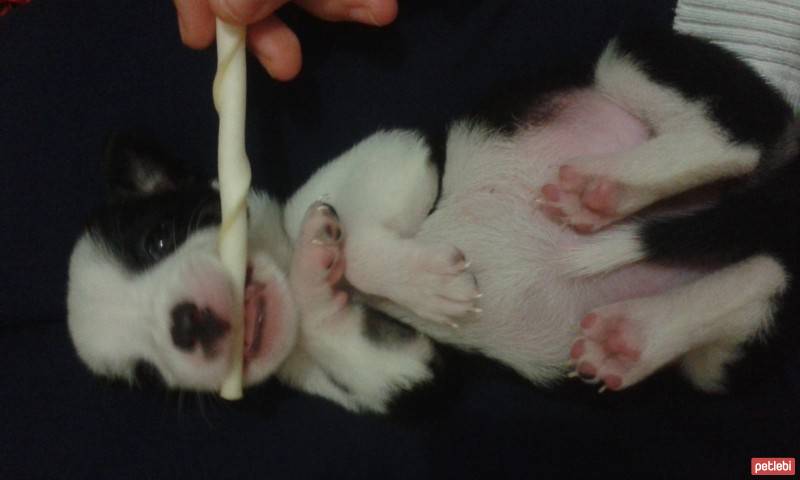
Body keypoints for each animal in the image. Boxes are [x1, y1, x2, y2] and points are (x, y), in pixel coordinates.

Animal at [67, 30, 792, 412]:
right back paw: (629, 337)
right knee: (764, 274)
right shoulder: (401, 374)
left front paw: (405, 278)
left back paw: (603, 190)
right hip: (716, 357)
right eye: (145, 375)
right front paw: (322, 271)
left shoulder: (401, 156)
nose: (186, 324)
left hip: (631, 60)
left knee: (732, 141)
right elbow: (340, 320)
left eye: (158, 238)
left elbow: (357, 241)